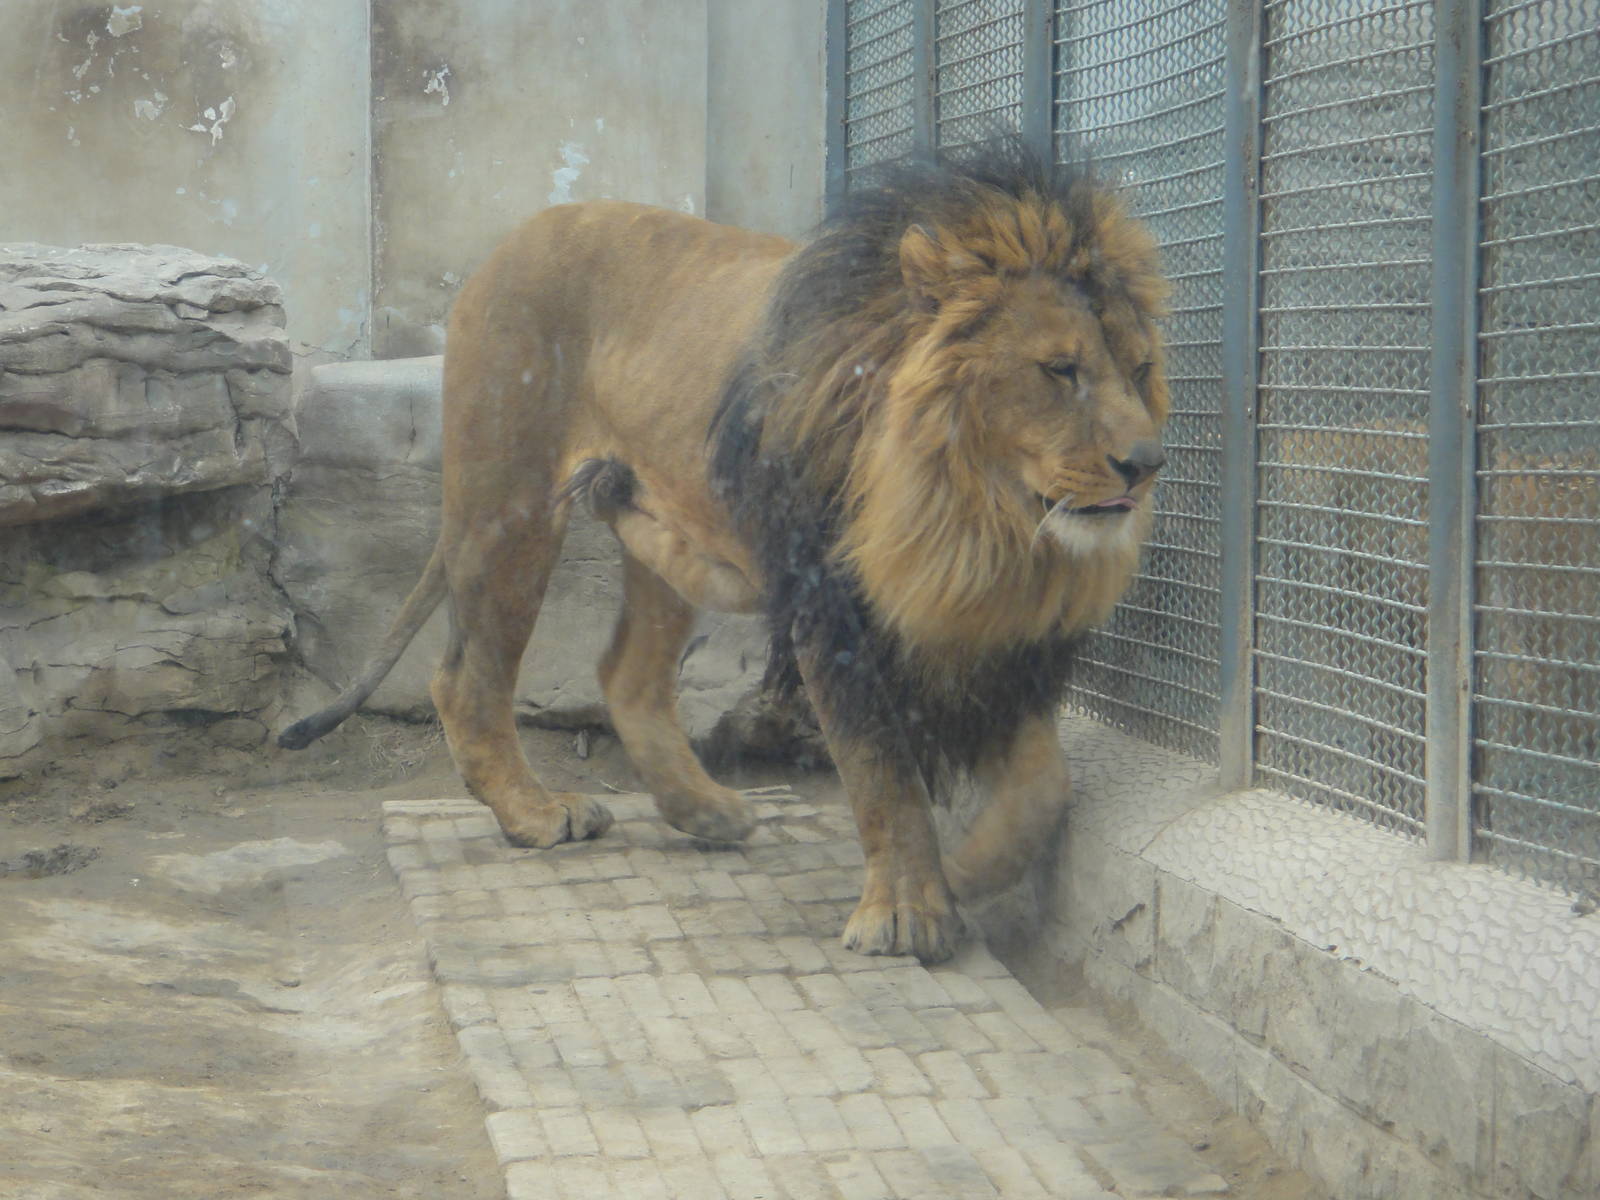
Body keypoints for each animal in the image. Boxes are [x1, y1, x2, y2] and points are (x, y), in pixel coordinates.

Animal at [280, 144, 1170, 963]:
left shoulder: (1008, 644)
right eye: (1060, 370)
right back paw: (535, 815)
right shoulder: (832, 609)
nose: (1147, 461)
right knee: (465, 678)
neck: (976, 525)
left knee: (626, 674)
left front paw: (968, 872)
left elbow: (1045, 787)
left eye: (1138, 368)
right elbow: (882, 771)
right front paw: (909, 911)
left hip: (661, 530)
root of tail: (510, 242)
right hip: (511, 507)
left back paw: (703, 810)